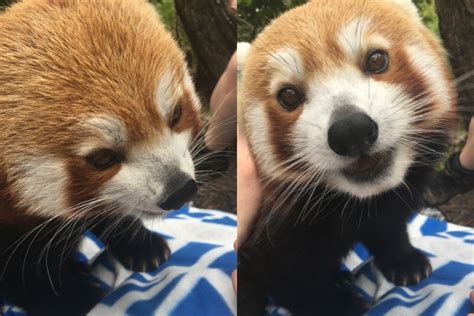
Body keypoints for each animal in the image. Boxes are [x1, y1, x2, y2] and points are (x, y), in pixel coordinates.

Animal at [0, 0, 202, 312]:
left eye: (177, 114)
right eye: (103, 158)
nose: (180, 190)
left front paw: (141, 244)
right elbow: (21, 276)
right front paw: (76, 298)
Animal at [239, 1, 458, 314]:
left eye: (376, 60)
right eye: (289, 96)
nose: (351, 131)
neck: (351, 201)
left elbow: (388, 225)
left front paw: (404, 260)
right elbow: (285, 277)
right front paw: (334, 304)